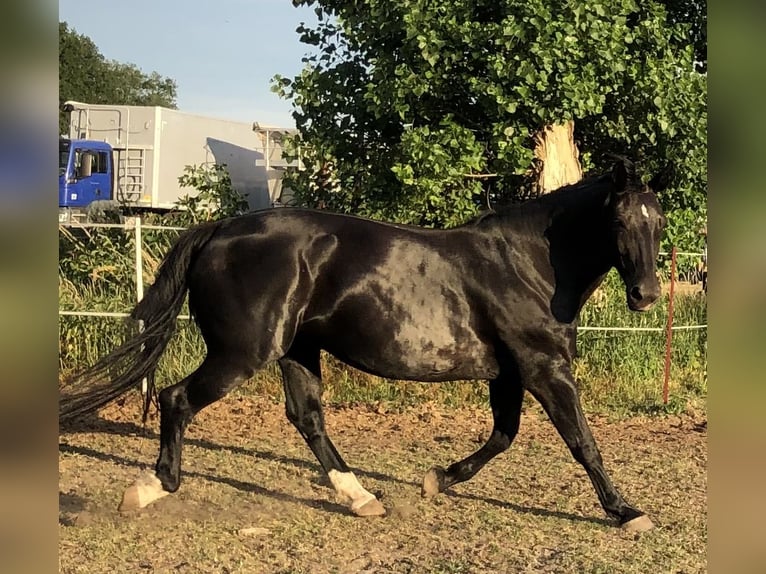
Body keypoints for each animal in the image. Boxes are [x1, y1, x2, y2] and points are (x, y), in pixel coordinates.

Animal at [59, 156, 670, 532]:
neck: (526, 264)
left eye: (658, 222)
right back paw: (149, 489)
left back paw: (361, 497)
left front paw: (436, 480)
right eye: (618, 221)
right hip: (244, 353)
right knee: (177, 399)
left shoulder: (510, 373)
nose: (645, 295)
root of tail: (220, 229)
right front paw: (626, 511)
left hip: (297, 351)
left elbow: (502, 437)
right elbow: (582, 442)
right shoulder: (545, 368)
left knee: (307, 418)